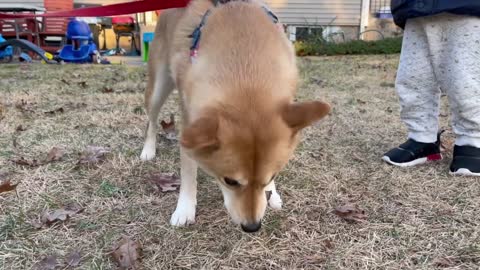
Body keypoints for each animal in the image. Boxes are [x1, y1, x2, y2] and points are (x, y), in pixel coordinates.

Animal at [141, 0, 332, 232]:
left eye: (272, 176)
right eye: (230, 181)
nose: (252, 227)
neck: (245, 71)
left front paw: (273, 194)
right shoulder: (189, 119)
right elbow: (188, 170)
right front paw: (185, 208)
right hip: (159, 85)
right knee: (151, 120)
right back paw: (148, 150)